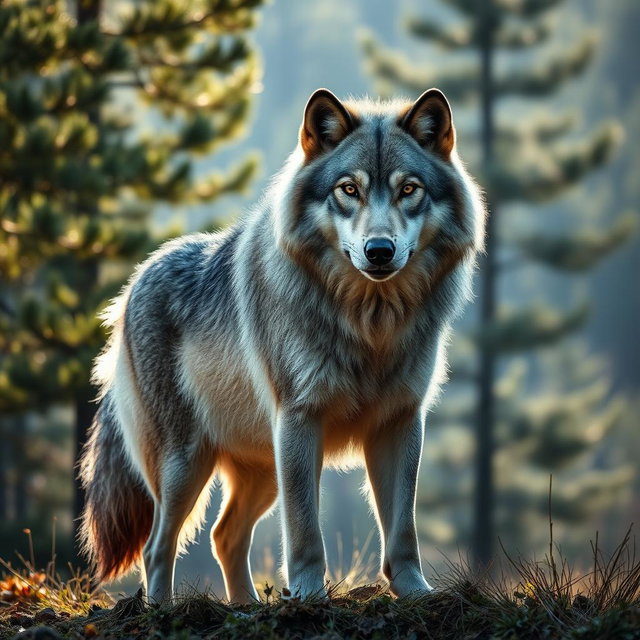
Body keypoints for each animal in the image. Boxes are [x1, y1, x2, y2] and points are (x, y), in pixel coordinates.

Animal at [79, 87, 485, 604]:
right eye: (348, 190)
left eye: (408, 190)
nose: (379, 251)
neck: (369, 325)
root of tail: (132, 285)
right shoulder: (299, 420)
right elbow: (305, 532)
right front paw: (310, 596)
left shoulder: (401, 422)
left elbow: (403, 529)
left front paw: (415, 593)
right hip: (188, 465)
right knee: (158, 546)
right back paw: (164, 610)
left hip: (262, 471)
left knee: (223, 536)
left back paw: (246, 609)